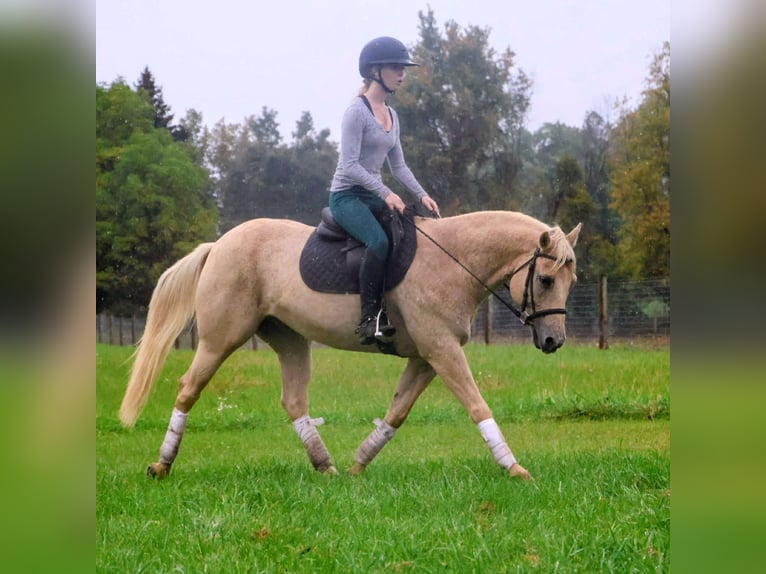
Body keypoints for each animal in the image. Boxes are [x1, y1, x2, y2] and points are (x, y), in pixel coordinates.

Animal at [119, 210, 581, 481]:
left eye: (571, 280)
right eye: (545, 280)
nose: (554, 341)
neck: (451, 261)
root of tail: (219, 245)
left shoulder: (425, 358)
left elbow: (397, 412)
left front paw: (360, 463)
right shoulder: (442, 351)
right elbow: (477, 405)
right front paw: (513, 466)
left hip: (290, 340)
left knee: (294, 401)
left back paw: (326, 466)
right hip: (220, 340)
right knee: (188, 388)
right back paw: (162, 464)